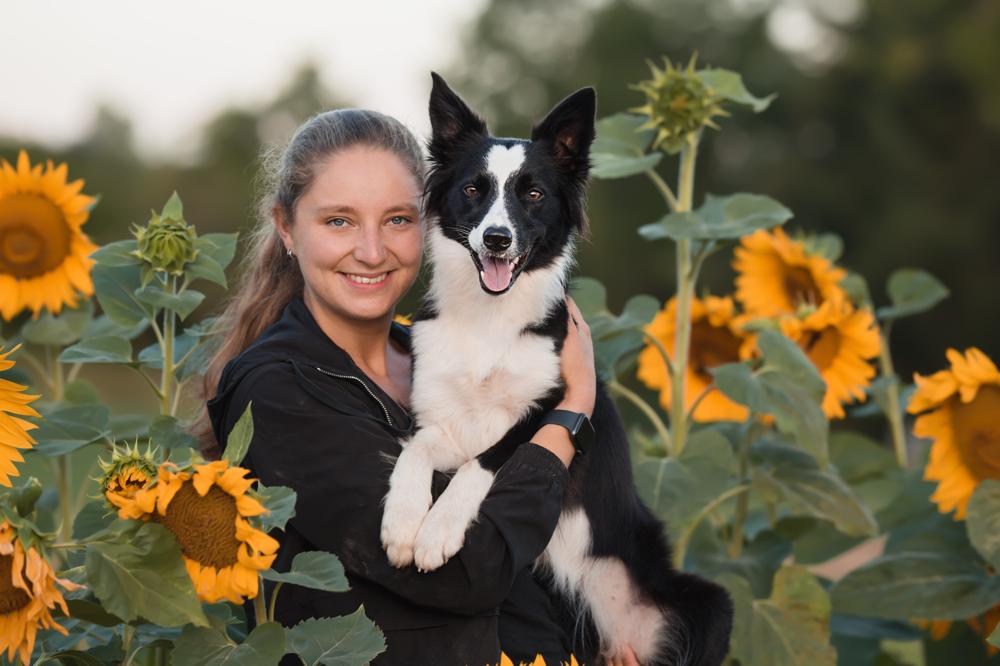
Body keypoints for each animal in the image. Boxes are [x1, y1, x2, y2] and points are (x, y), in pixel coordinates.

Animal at [378, 74, 732, 664]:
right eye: (473, 190)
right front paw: (404, 523)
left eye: (534, 194)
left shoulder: (548, 405)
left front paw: (437, 532)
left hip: (711, 605)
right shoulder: (436, 415)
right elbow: (416, 451)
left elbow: (486, 459)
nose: (497, 239)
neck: (490, 319)